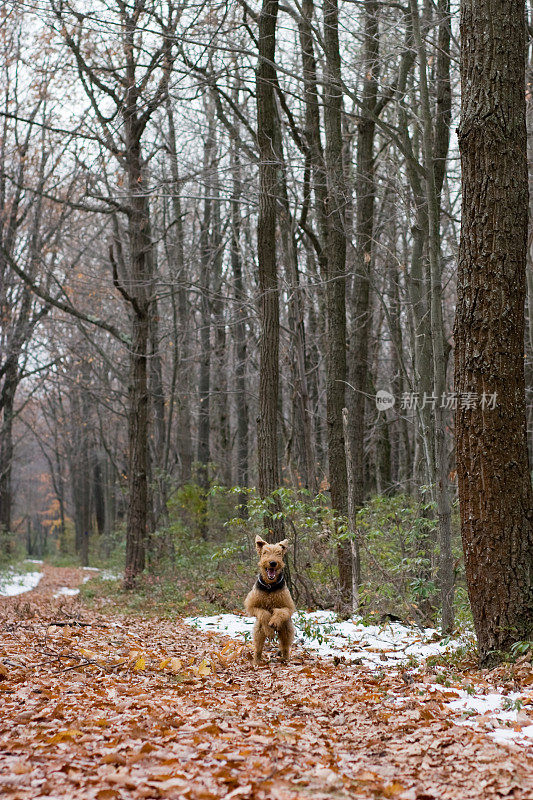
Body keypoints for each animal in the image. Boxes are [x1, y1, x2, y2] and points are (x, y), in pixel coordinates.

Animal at [244, 536, 296, 664]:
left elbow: (280, 612)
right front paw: (269, 626)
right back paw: (256, 661)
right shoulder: (251, 606)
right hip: (258, 630)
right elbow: (263, 613)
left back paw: (285, 659)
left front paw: (274, 622)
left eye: (279, 553)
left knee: (285, 646)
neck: (270, 586)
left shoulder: (288, 607)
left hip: (287, 627)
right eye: (265, 552)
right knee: (258, 647)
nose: (273, 563)